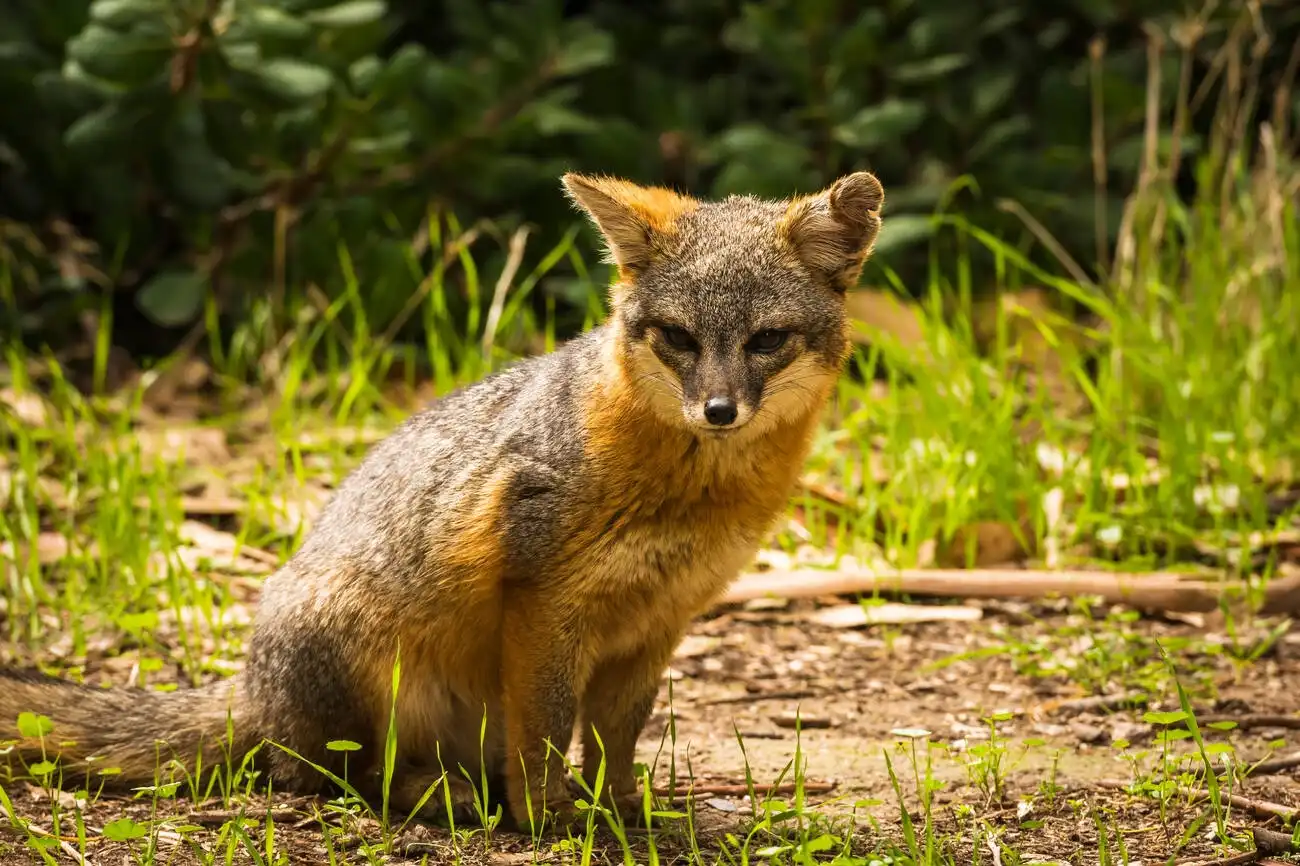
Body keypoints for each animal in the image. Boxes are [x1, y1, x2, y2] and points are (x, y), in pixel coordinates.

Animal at [0, 170, 883, 832]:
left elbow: (614, 737)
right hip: (369, 661)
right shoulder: (544, 601)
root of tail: (251, 688)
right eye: (678, 338)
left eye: (766, 341)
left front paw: (623, 811)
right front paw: (549, 819)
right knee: (331, 777)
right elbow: (547, 730)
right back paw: (446, 797)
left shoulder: (660, 619)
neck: (690, 491)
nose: (718, 411)